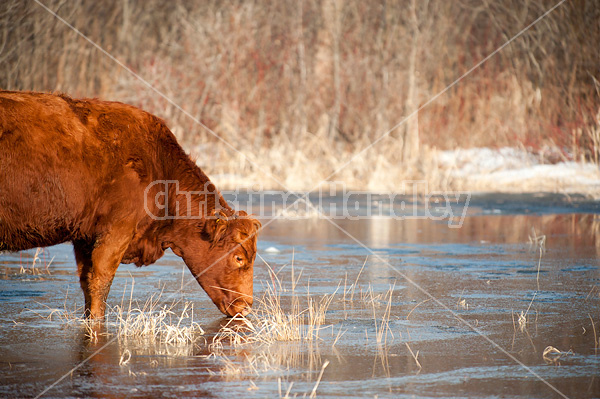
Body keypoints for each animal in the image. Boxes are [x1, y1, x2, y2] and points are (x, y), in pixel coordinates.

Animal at [0, 90, 260, 318]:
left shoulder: (84, 238)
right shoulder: (117, 230)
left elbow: (86, 282)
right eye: (239, 258)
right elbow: (100, 283)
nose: (247, 307)